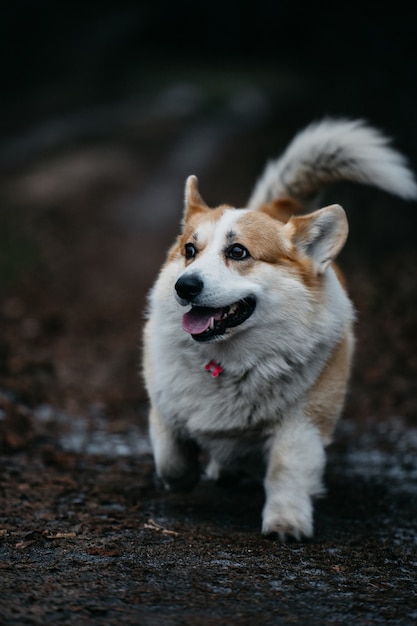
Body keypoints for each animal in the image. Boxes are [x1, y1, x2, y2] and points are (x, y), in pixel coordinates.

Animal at [141, 119, 414, 540]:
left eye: (238, 252)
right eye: (189, 251)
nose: (184, 287)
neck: (229, 363)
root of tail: (274, 208)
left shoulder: (302, 424)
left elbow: (286, 469)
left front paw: (287, 522)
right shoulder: (163, 404)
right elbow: (171, 457)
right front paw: (181, 478)